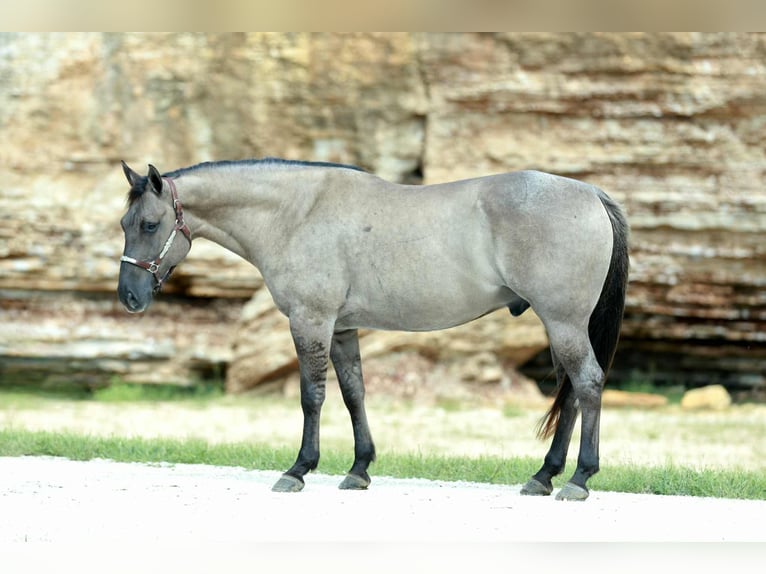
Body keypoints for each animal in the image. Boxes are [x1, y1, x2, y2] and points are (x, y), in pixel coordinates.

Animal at [117, 158, 629, 501]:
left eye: (150, 224)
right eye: (124, 223)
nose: (129, 297)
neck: (297, 213)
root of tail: (590, 194)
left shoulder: (312, 321)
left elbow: (312, 397)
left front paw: (299, 469)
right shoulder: (343, 330)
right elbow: (354, 394)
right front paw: (359, 469)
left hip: (562, 322)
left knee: (587, 384)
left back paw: (578, 479)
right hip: (561, 325)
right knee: (571, 394)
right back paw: (544, 476)